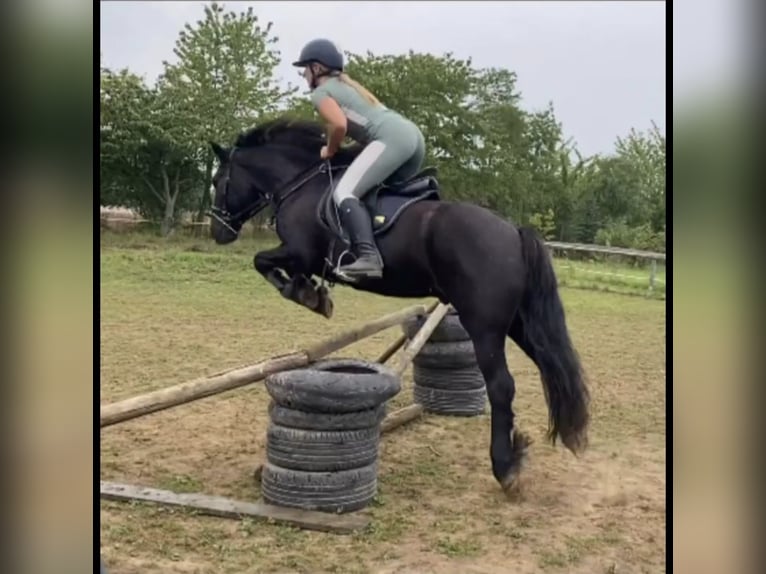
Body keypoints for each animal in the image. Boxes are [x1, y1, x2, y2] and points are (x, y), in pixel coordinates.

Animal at [208, 117, 590, 491]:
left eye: (217, 180)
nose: (218, 232)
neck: (299, 183)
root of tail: (513, 231)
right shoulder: (302, 257)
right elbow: (273, 265)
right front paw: (311, 292)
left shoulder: (300, 252)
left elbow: (262, 261)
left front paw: (306, 294)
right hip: (519, 323)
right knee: (552, 368)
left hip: (484, 325)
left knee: (501, 386)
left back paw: (504, 468)